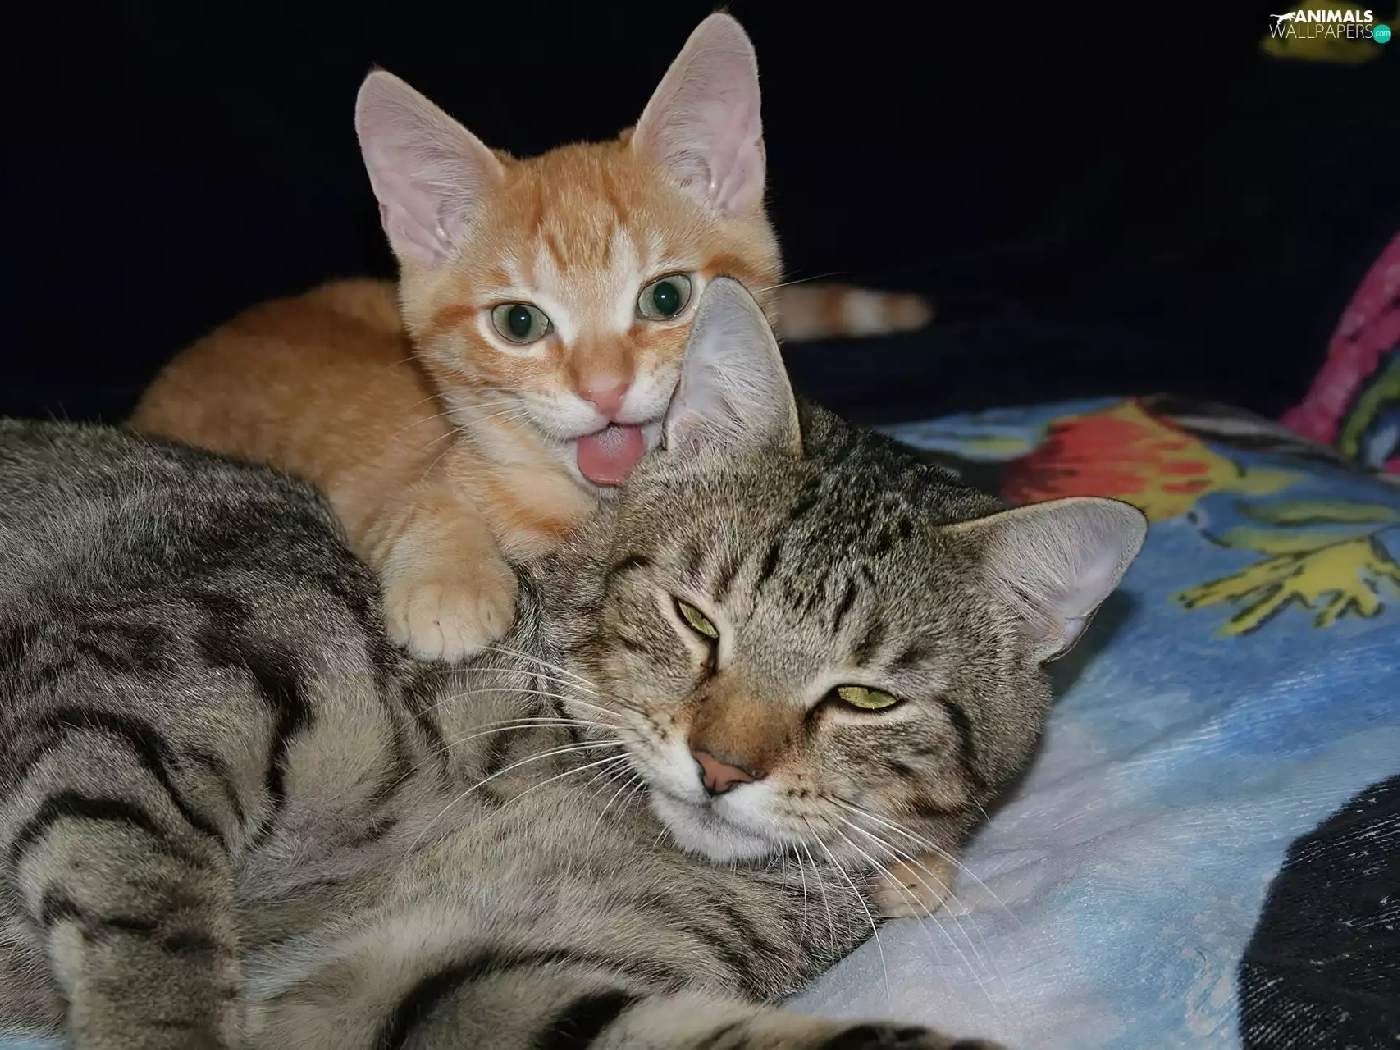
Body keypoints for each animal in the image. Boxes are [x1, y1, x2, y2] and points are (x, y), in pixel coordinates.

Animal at [1, 278, 1145, 1048]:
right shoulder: (170, 681)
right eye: (695, 618)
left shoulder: (464, 979)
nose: (721, 768)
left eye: (864, 697)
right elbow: (154, 926)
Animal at [129, 13, 933, 666]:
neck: (590, 511)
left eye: (666, 297)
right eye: (520, 323)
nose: (604, 389)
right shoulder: (383, 479)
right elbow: (414, 500)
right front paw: (450, 581)